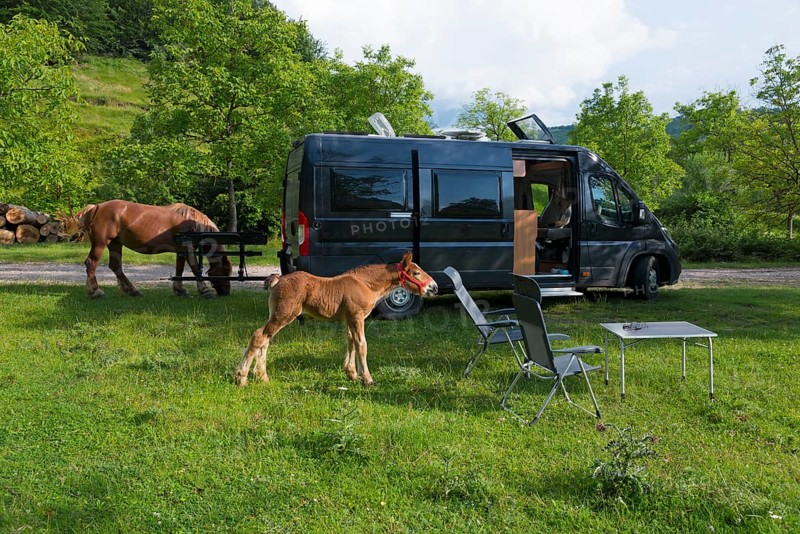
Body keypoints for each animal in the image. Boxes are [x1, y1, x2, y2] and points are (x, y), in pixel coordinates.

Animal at [76, 199, 233, 299]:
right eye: (225, 272)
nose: (226, 292)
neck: (191, 223)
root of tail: (96, 207)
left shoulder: (181, 250)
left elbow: (180, 269)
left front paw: (180, 290)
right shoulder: (186, 248)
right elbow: (194, 268)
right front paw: (205, 290)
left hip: (115, 243)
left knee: (116, 266)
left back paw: (133, 291)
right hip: (101, 243)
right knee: (91, 263)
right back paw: (95, 291)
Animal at [235, 251, 438, 387]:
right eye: (416, 273)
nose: (434, 287)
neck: (366, 284)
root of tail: (278, 280)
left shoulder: (349, 319)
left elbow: (351, 342)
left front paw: (352, 374)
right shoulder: (357, 317)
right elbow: (361, 344)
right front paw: (367, 379)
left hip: (276, 314)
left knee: (266, 339)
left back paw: (262, 376)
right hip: (284, 315)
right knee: (260, 336)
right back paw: (241, 377)